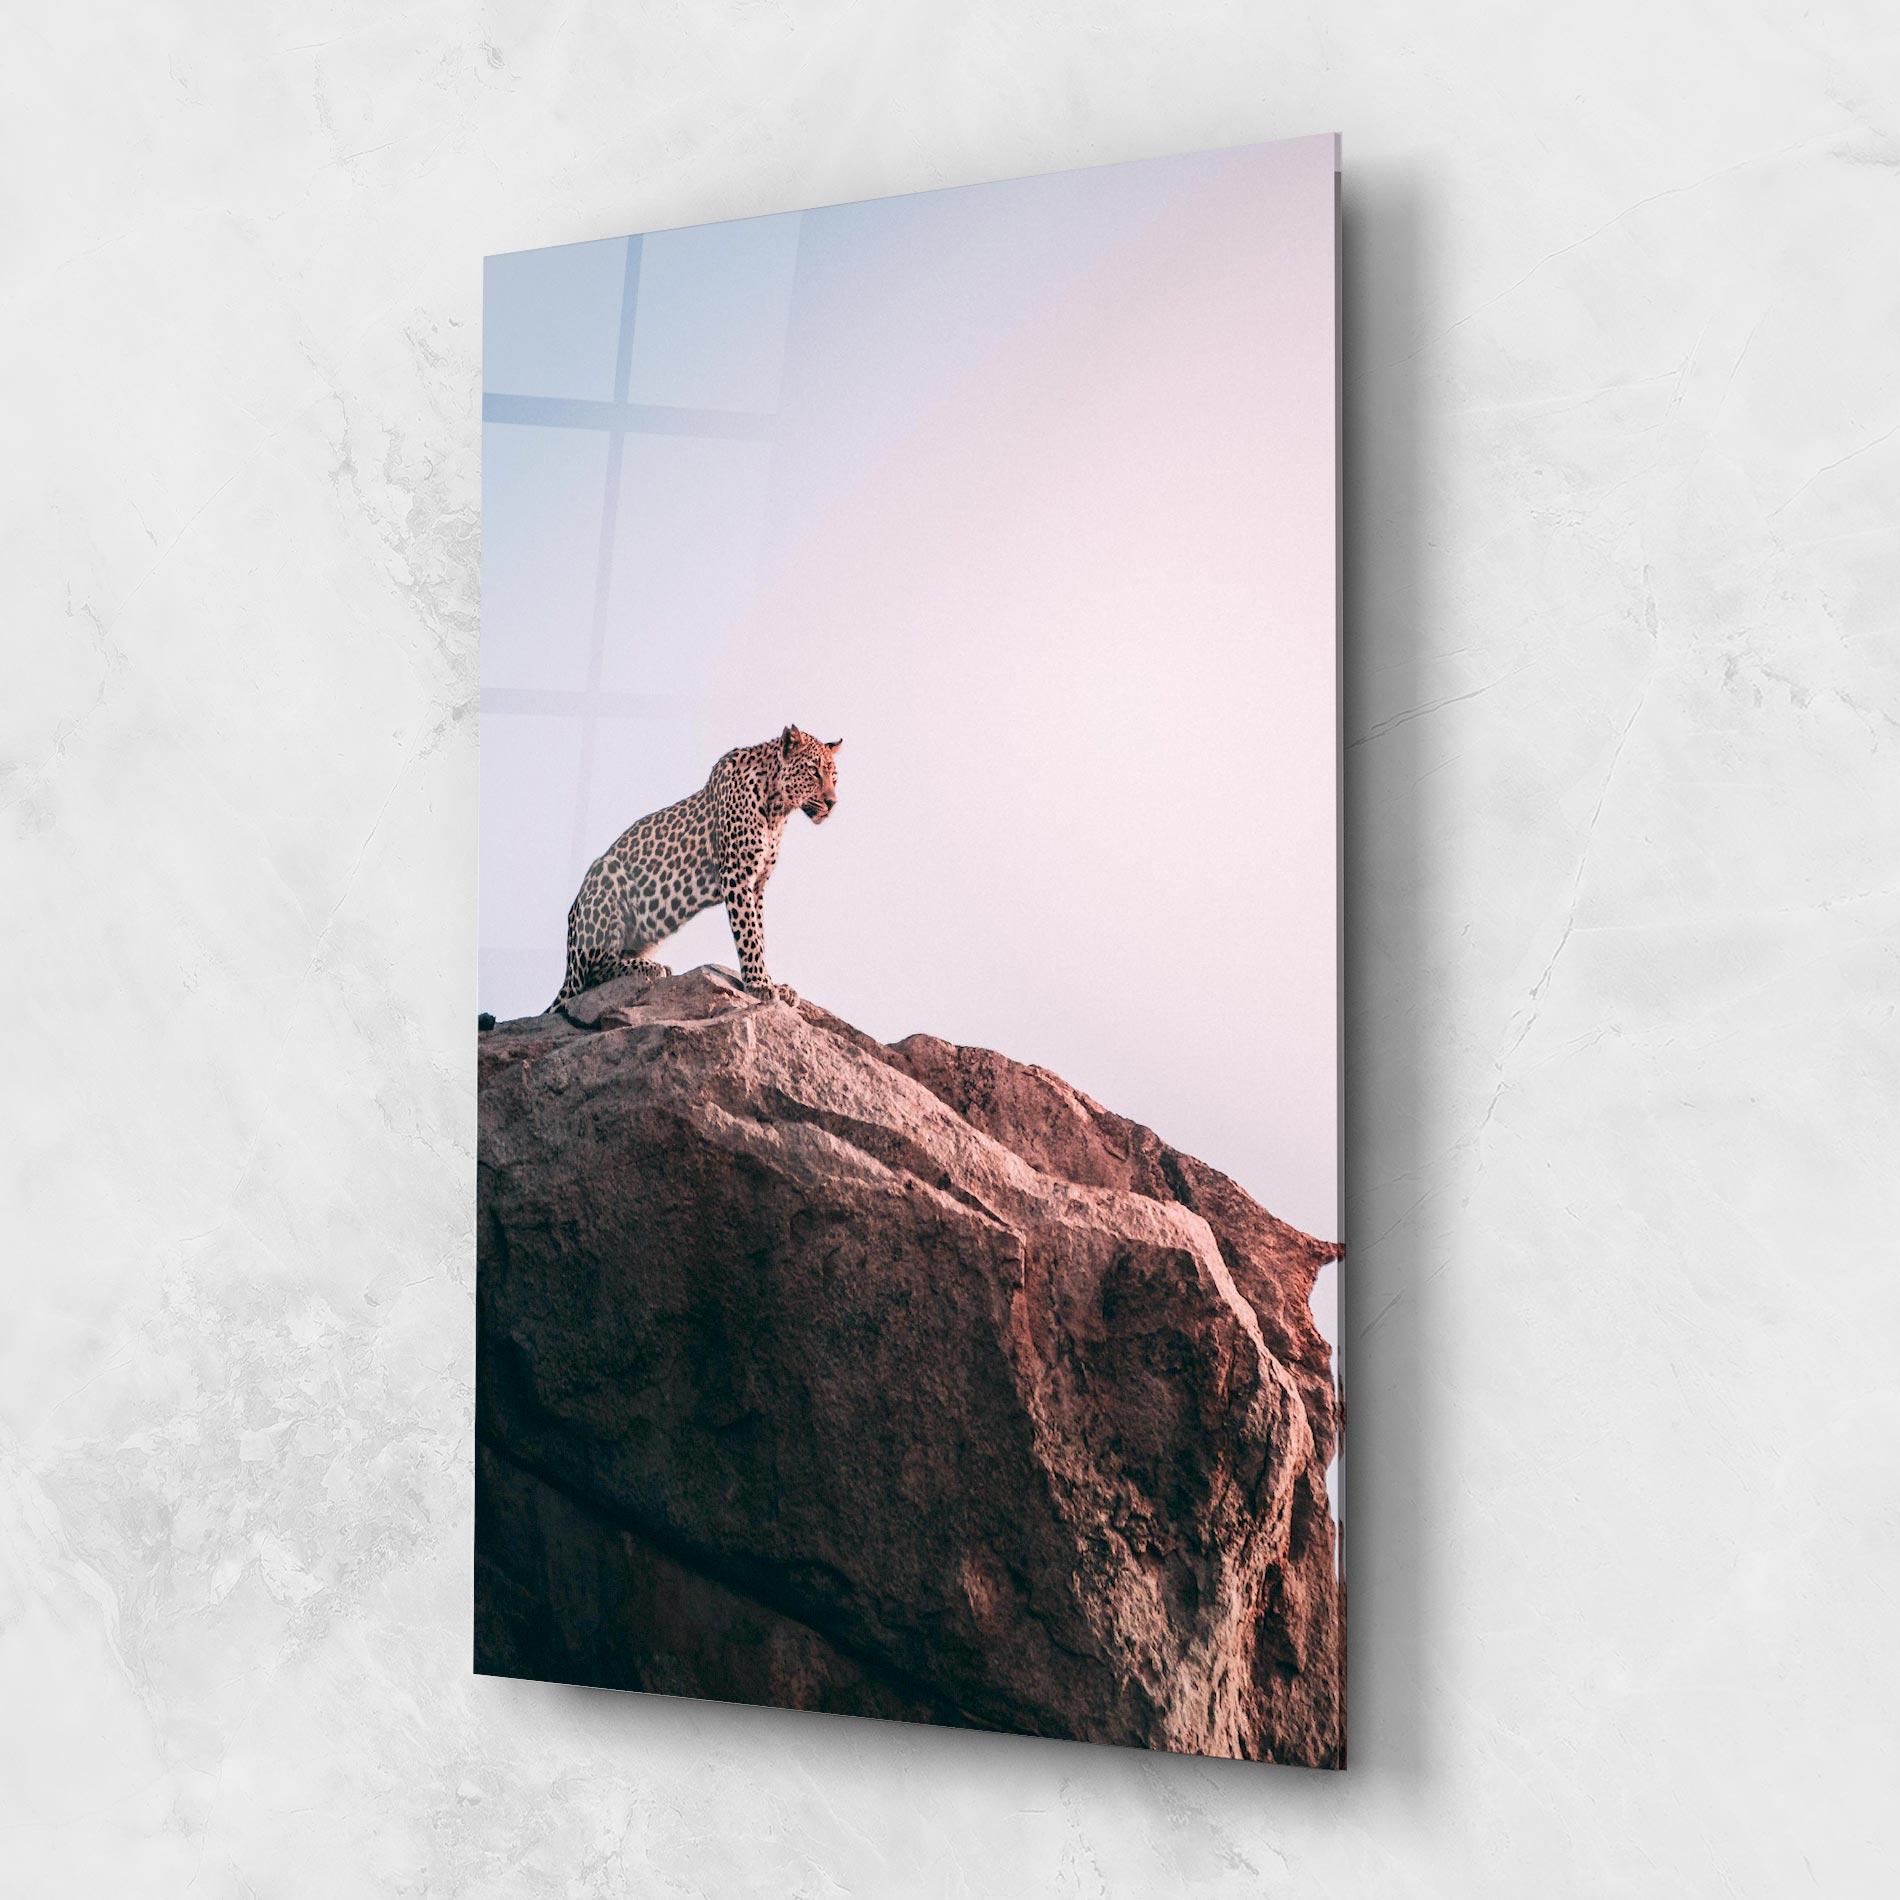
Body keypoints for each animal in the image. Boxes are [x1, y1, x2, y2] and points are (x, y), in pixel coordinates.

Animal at [550, 724, 842, 1011]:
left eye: (834, 778)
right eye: (814, 772)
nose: (832, 803)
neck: (777, 809)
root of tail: (568, 966)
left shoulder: (757, 884)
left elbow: (759, 934)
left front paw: (772, 983)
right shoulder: (736, 875)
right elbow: (748, 934)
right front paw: (759, 984)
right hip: (605, 872)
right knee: (593, 974)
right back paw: (648, 967)